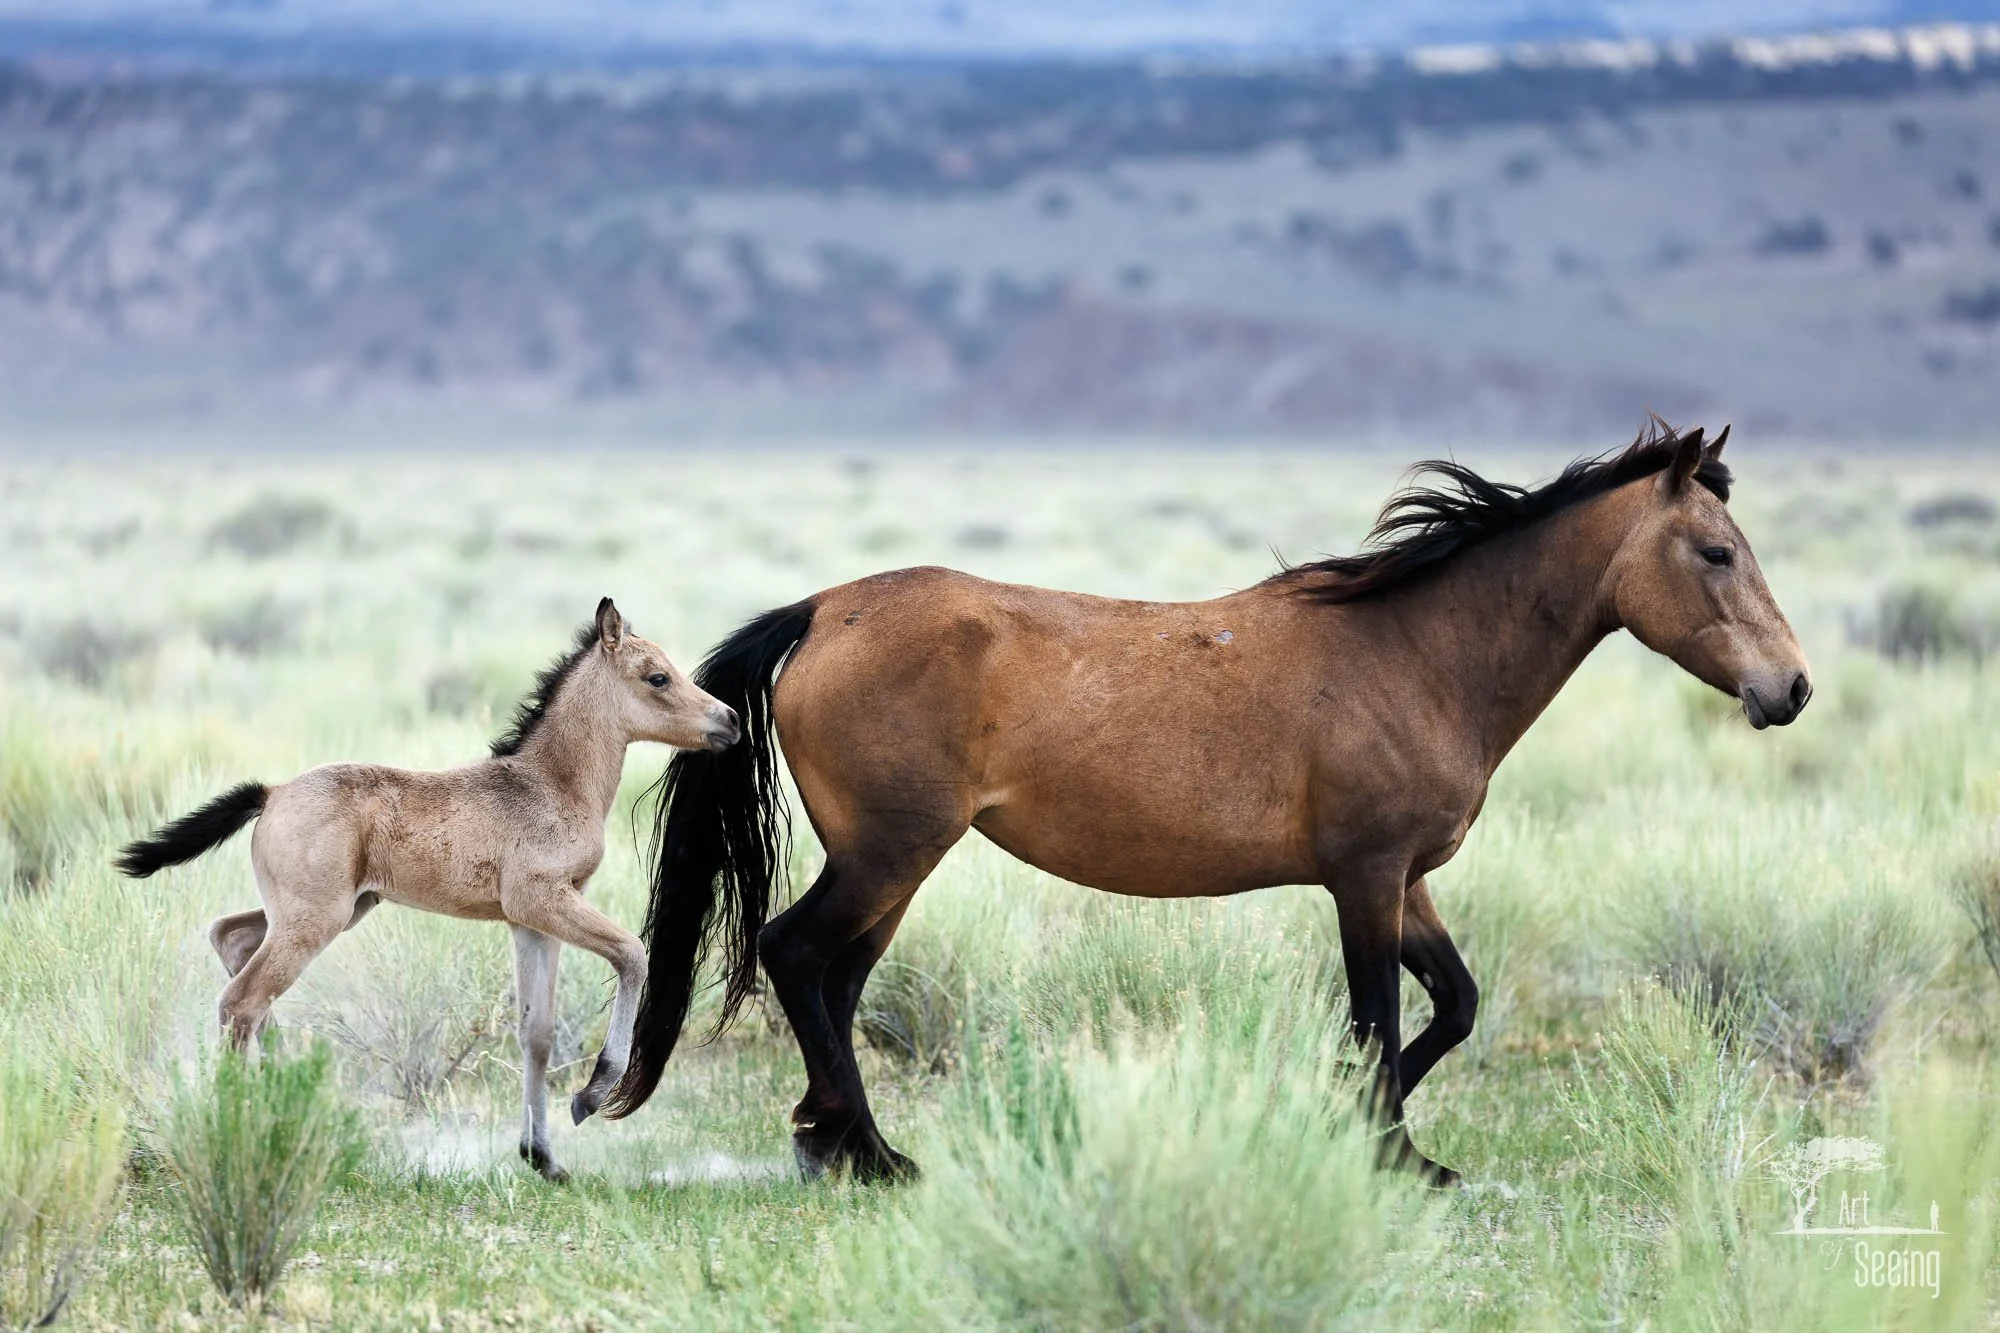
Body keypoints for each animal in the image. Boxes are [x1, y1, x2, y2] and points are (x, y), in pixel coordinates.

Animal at [115, 598, 741, 1182]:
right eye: (656, 677)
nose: (731, 720)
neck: (548, 784)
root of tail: (272, 793)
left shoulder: (530, 923)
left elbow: (535, 1033)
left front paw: (542, 1157)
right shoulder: (543, 900)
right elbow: (632, 955)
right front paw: (590, 1096)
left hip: (334, 909)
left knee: (232, 941)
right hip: (316, 918)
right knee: (241, 1000)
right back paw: (242, 1128)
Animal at [599, 422, 1812, 1186]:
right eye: (1715, 552)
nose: (1790, 688)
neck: (1416, 653)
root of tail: (821, 611)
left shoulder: (1405, 880)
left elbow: (1454, 1005)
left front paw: (1362, 1128)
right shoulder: (1363, 878)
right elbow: (1378, 1018)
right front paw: (1387, 1154)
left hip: (893, 861)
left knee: (836, 979)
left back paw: (837, 1142)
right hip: (893, 851)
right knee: (798, 954)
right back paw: (867, 1154)